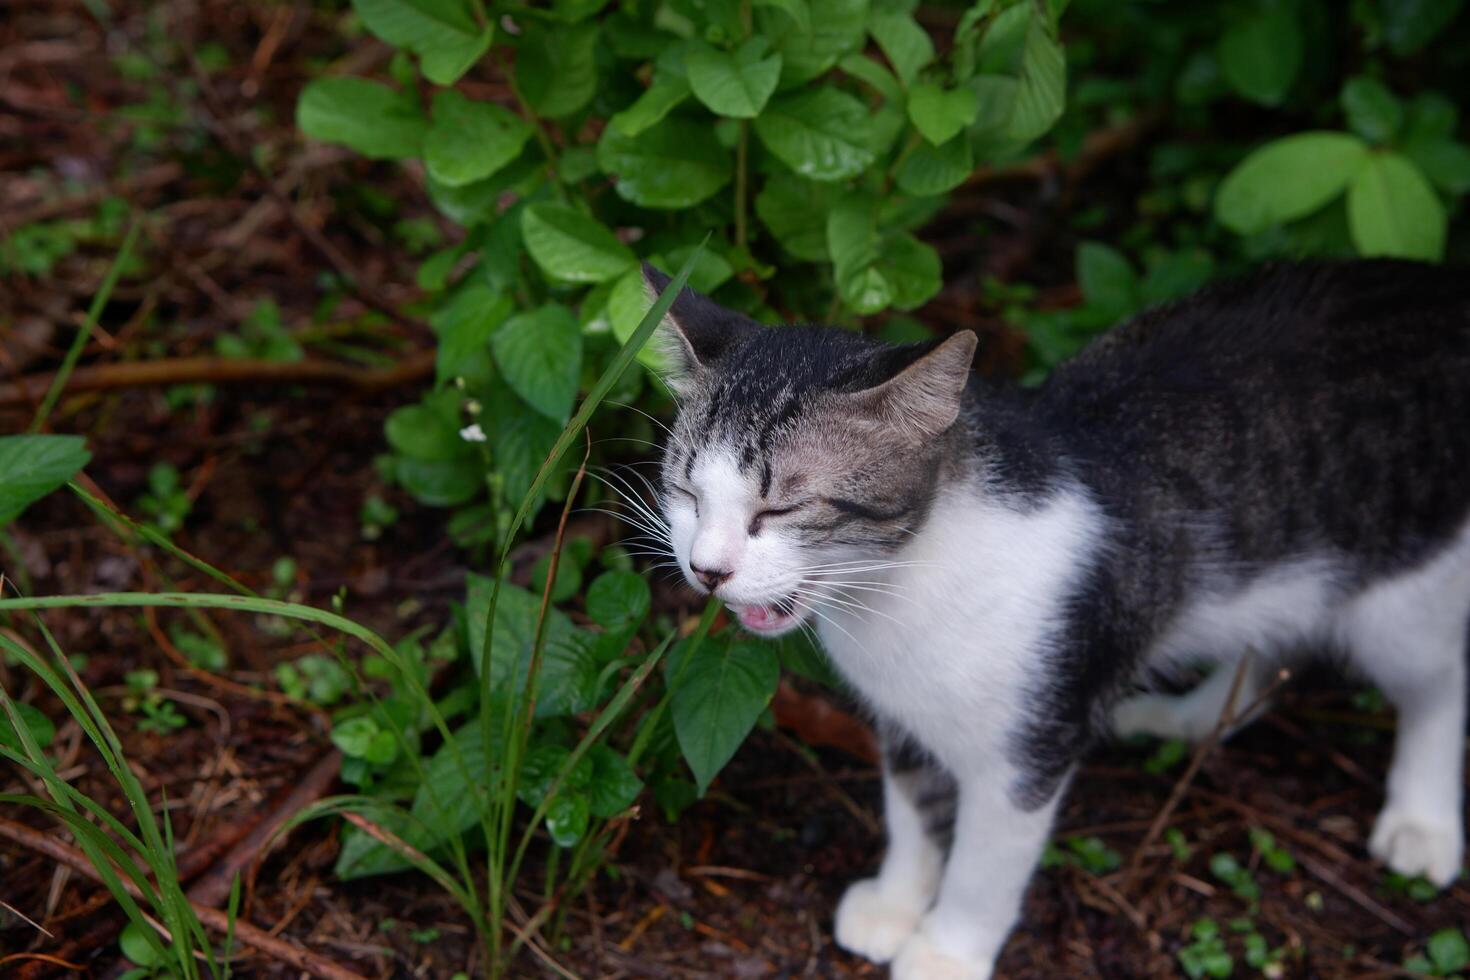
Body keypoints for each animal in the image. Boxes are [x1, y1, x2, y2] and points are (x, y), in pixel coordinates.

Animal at [643, 262, 1470, 980]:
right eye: (685, 490)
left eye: (780, 508)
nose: (707, 569)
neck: (902, 586)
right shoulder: (904, 717)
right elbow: (913, 809)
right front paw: (897, 903)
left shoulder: (1033, 741)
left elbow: (985, 865)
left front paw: (946, 950)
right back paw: (1189, 719)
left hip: (1403, 597)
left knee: (1437, 681)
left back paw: (1423, 821)